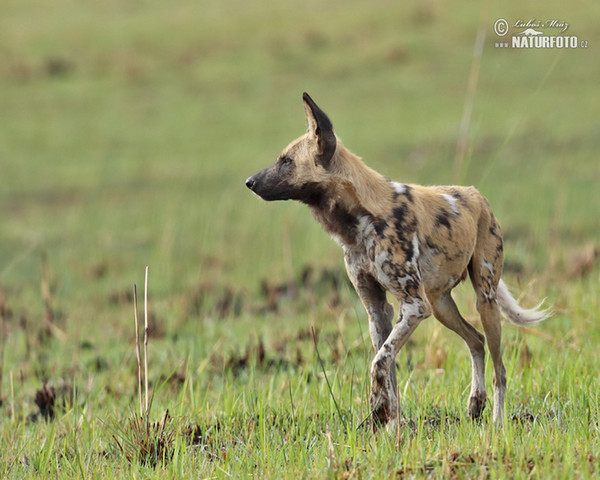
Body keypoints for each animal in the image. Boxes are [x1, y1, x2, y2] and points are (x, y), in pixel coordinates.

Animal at [244, 93, 548, 428]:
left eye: (286, 161)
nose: (249, 182)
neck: (359, 221)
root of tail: (476, 194)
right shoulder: (379, 312)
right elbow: (388, 368)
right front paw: (392, 425)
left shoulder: (413, 306)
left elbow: (379, 363)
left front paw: (380, 413)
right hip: (441, 306)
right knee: (476, 340)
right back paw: (474, 404)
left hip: (484, 299)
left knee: (500, 369)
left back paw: (497, 422)